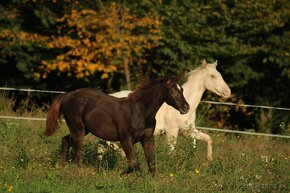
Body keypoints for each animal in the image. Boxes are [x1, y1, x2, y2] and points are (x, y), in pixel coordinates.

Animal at [44, 75, 190, 176]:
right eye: (172, 90)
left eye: (182, 89)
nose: (186, 107)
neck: (139, 111)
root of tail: (67, 95)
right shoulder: (126, 139)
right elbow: (134, 163)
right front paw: (121, 175)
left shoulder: (148, 139)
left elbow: (151, 162)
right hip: (78, 130)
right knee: (77, 153)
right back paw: (80, 175)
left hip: (83, 130)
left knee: (65, 140)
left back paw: (61, 169)